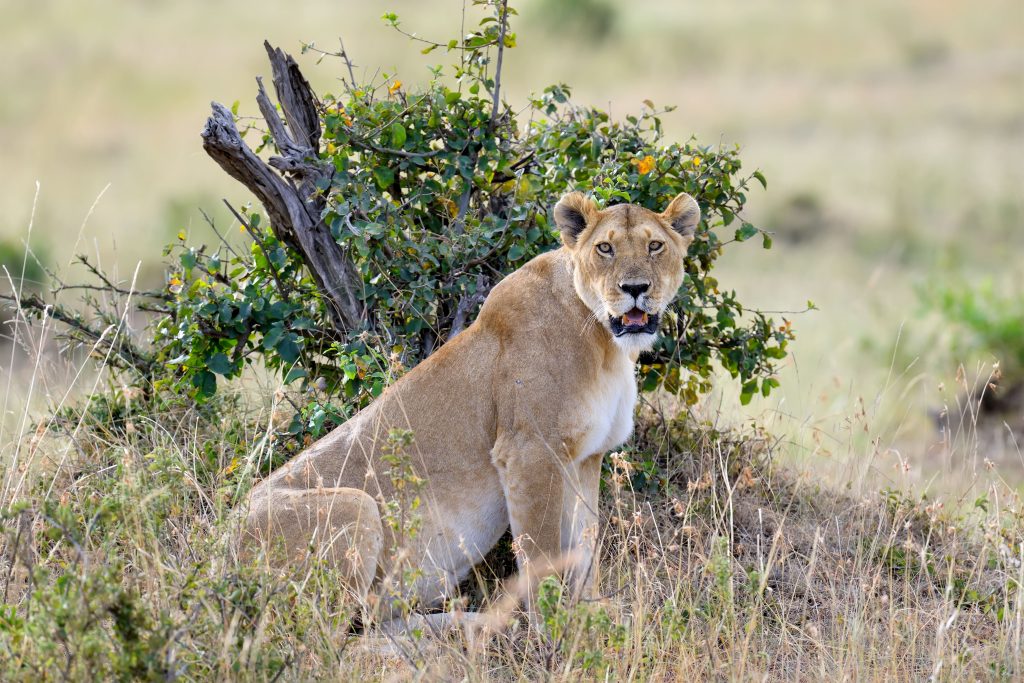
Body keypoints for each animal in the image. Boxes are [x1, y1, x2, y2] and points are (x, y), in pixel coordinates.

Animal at [240, 191, 700, 626]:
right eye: (605, 248)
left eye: (655, 245)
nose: (635, 288)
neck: (605, 344)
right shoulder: (529, 451)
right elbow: (543, 551)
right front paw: (555, 630)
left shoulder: (585, 457)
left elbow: (584, 547)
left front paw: (590, 616)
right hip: (356, 506)